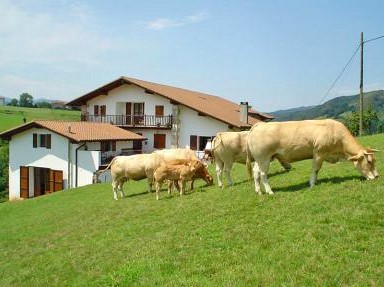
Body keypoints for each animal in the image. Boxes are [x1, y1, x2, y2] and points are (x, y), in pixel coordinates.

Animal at [246, 119, 378, 196]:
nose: (377, 176)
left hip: (260, 160)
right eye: (369, 162)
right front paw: (312, 183)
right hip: (264, 158)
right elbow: (316, 169)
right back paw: (270, 191)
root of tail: (259, 125)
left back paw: (258, 191)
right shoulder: (319, 153)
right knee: (263, 174)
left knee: (256, 172)